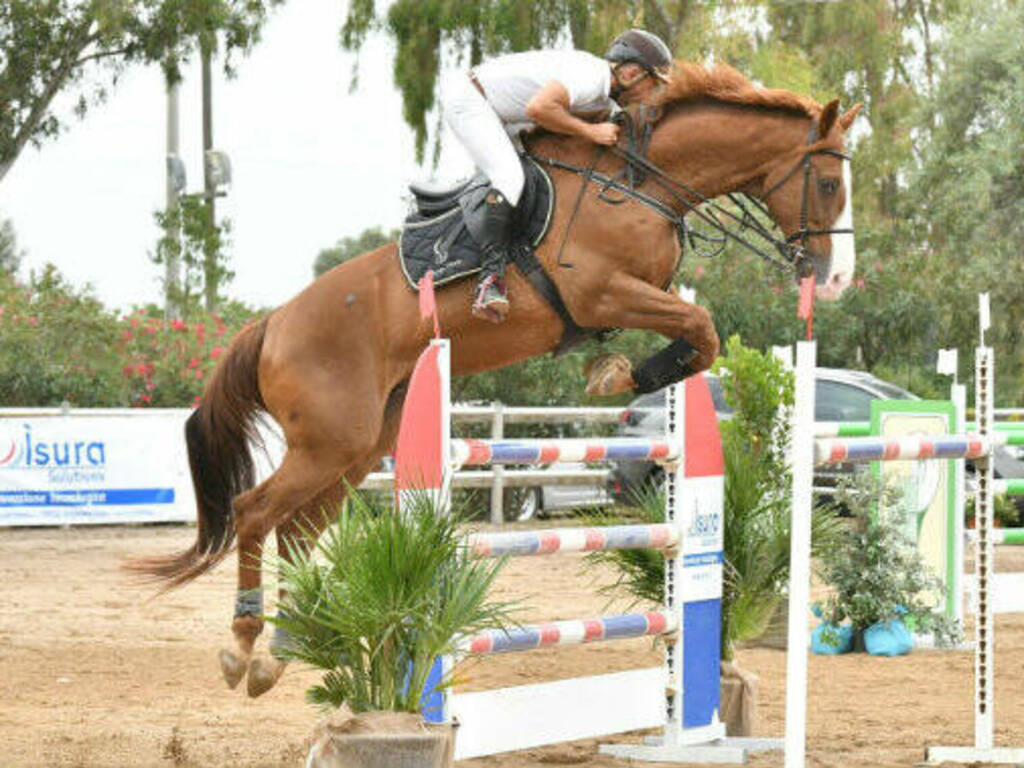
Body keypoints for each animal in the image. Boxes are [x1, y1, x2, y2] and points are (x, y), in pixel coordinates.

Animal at [132, 61, 860, 696]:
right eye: (828, 184)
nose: (834, 279)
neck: (640, 181)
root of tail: (273, 325)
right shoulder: (602, 292)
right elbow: (702, 327)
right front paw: (621, 374)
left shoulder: (633, 295)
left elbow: (699, 335)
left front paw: (618, 370)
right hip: (329, 442)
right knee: (255, 513)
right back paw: (242, 647)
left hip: (357, 445)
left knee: (299, 531)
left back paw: (278, 654)